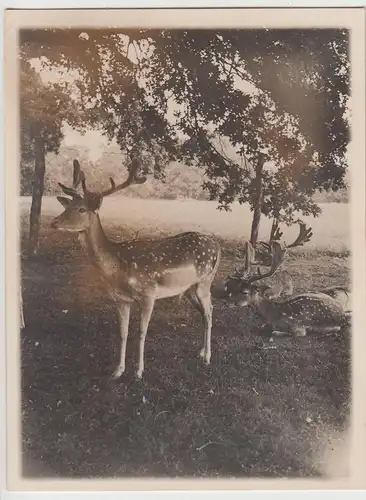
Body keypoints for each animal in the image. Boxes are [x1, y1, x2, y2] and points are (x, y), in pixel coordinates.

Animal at [50, 160, 220, 378]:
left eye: (81, 209)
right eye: (68, 206)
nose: (55, 222)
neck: (118, 270)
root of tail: (217, 245)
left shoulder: (148, 293)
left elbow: (141, 332)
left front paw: (139, 371)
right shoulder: (120, 299)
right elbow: (123, 333)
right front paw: (118, 370)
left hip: (205, 280)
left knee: (209, 312)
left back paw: (207, 357)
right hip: (190, 288)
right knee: (205, 312)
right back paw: (201, 352)